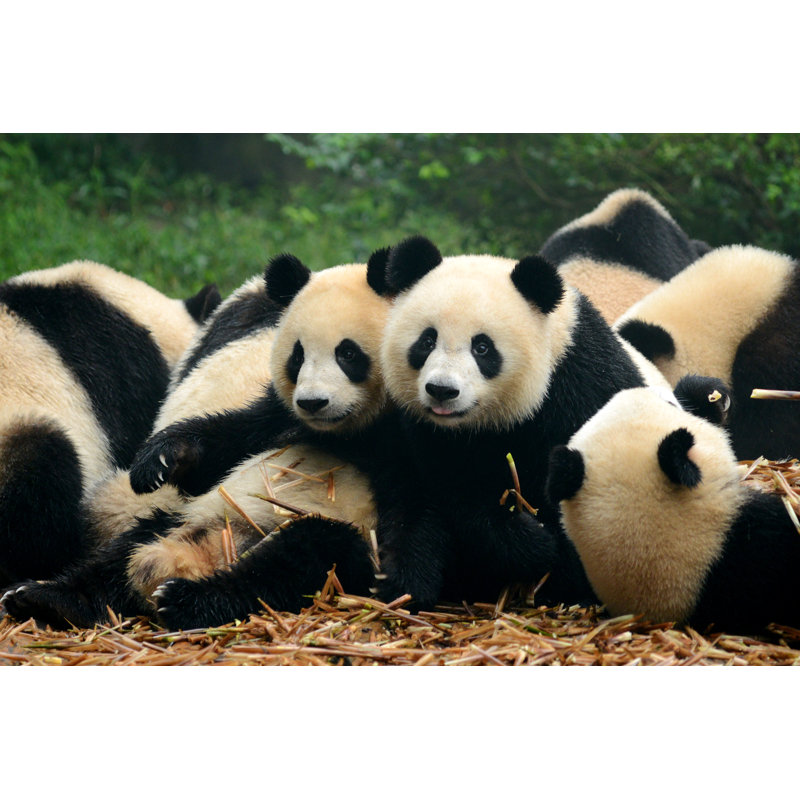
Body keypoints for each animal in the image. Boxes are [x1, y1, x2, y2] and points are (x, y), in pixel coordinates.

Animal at [372, 235, 674, 612]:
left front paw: (554, 569)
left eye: (482, 347)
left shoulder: (580, 385)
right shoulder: (418, 431)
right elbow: (439, 496)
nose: (442, 390)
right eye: (427, 341)